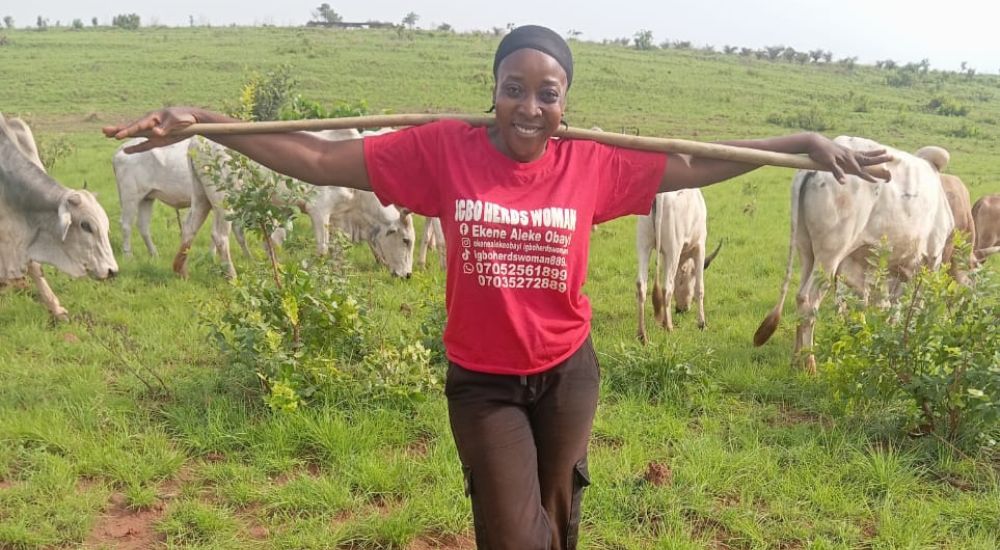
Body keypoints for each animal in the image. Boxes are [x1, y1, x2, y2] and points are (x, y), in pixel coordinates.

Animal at [635, 188, 721, 343]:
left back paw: (642, 335)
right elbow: (699, 288)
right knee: (666, 287)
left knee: (641, 285)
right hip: (673, 246)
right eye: (688, 278)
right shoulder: (700, 246)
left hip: (643, 244)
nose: (681, 309)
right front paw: (702, 324)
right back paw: (668, 327)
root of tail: (659, 196)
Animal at [754, 136, 954, 372]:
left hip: (806, 250)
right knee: (808, 302)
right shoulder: (931, 259)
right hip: (830, 254)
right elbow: (912, 307)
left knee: (799, 295)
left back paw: (795, 360)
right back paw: (810, 364)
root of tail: (811, 170)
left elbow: (874, 307)